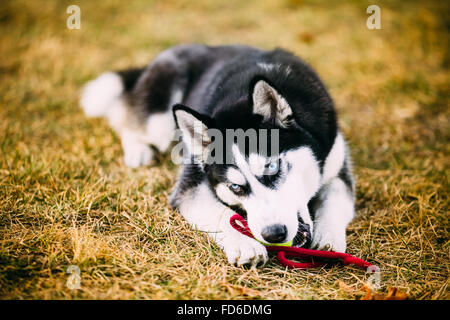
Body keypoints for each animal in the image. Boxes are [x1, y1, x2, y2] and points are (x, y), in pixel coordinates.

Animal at [81, 43, 356, 266]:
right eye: (235, 187)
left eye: (273, 169)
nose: (274, 234)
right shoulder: (191, 182)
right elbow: (222, 213)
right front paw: (245, 244)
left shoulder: (337, 166)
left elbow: (336, 200)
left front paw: (329, 238)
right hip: (159, 122)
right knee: (125, 118)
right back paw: (137, 150)